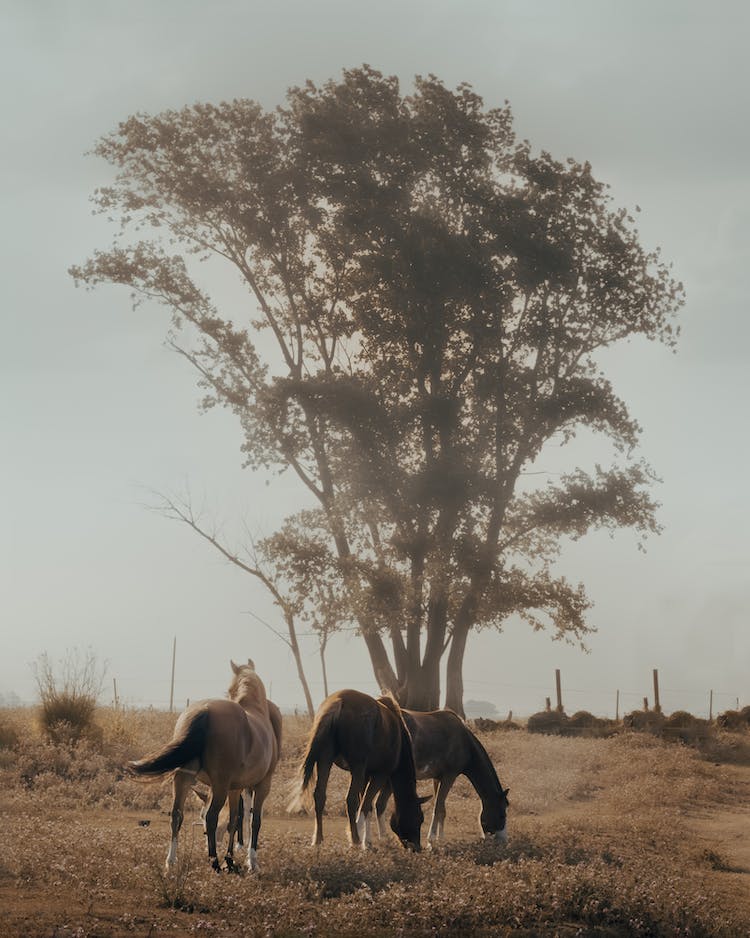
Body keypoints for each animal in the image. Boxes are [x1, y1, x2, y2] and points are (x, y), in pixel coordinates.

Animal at [128, 660, 280, 872]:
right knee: (211, 816)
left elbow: (234, 818)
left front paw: (230, 859)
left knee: (177, 815)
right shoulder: (262, 785)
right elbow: (254, 820)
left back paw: (171, 861)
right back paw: (214, 862)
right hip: (219, 786)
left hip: (184, 779)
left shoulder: (236, 788)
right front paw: (251, 862)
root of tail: (205, 710)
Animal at [290, 688, 428, 848]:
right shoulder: (380, 774)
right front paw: (364, 840)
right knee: (351, 800)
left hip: (325, 760)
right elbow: (367, 803)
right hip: (357, 768)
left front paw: (364, 835)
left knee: (319, 795)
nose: (417, 847)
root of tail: (339, 702)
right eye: (419, 818)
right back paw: (355, 839)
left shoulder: (366, 775)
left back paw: (318, 839)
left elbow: (366, 805)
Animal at [376, 704, 512, 844]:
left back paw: (383, 837)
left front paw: (440, 837)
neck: (464, 742)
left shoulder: (437, 778)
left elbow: (441, 808)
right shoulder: (449, 776)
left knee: (379, 804)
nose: (503, 840)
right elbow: (438, 807)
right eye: (502, 815)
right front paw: (431, 838)